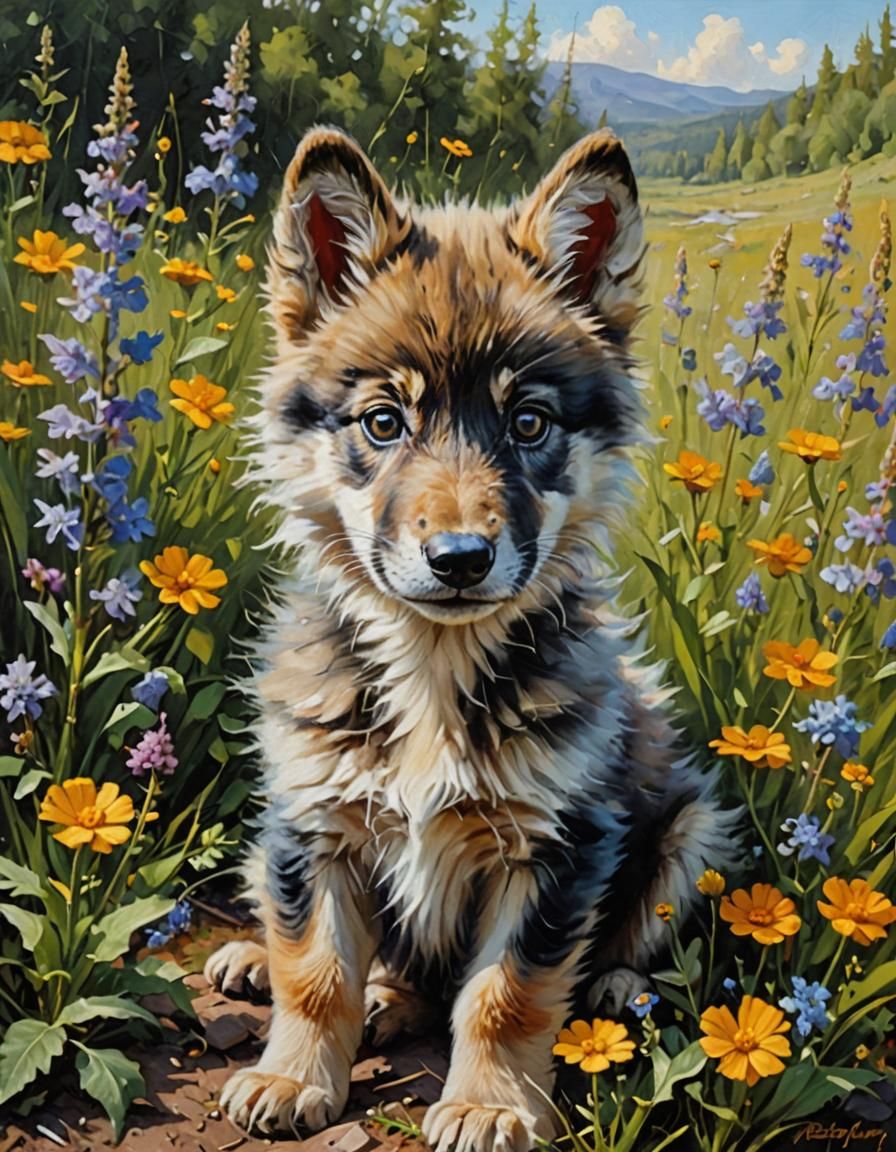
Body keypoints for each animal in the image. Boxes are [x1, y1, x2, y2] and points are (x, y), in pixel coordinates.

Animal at [205, 126, 735, 1151]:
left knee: (640, 935)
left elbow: (506, 994)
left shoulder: (560, 844)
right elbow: (315, 970)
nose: (459, 559)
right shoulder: (312, 820)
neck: (433, 664)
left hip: (691, 830)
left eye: (529, 423)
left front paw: (490, 1103)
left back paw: (616, 990)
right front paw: (294, 1076)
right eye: (383, 422)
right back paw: (281, 967)